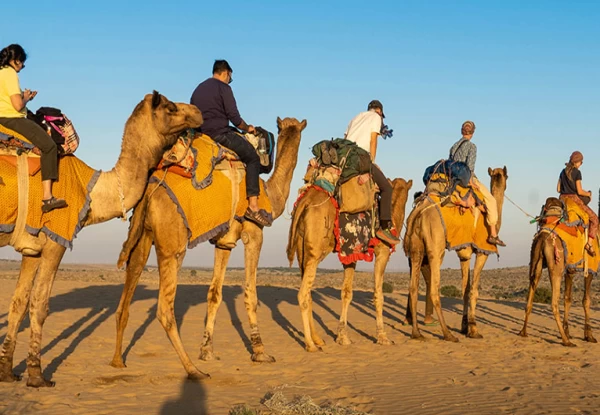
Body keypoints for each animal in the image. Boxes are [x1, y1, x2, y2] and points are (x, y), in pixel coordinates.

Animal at [0, 92, 203, 388]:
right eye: (170, 107)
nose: (198, 112)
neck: (92, 191)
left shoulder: (32, 246)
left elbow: (18, 303)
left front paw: (7, 372)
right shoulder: (56, 239)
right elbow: (39, 306)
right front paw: (38, 376)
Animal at [110, 116, 308, 376]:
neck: (271, 195)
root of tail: (153, 186)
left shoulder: (224, 243)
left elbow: (214, 294)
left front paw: (206, 351)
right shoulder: (254, 232)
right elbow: (250, 293)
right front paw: (260, 352)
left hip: (143, 234)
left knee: (130, 278)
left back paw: (117, 360)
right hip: (173, 243)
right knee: (164, 308)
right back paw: (192, 370)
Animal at [286, 177, 412, 352]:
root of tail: (305, 202)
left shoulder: (350, 253)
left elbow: (346, 293)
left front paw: (342, 337)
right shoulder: (383, 251)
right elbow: (378, 294)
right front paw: (383, 337)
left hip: (301, 250)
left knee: (308, 291)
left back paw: (318, 339)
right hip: (315, 250)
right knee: (303, 293)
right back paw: (310, 344)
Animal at [404, 167, 506, 342]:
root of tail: (418, 211)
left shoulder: (464, 253)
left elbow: (465, 290)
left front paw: (464, 327)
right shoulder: (483, 251)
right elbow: (474, 291)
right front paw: (473, 330)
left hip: (416, 247)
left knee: (413, 287)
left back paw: (417, 333)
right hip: (436, 246)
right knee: (434, 289)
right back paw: (447, 334)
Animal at [516, 197, 596, 346]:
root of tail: (542, 237)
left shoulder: (570, 269)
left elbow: (568, 298)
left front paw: (569, 331)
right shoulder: (590, 269)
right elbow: (586, 300)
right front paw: (589, 336)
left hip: (536, 261)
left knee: (530, 297)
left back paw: (523, 332)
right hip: (555, 265)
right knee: (554, 303)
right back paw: (566, 341)